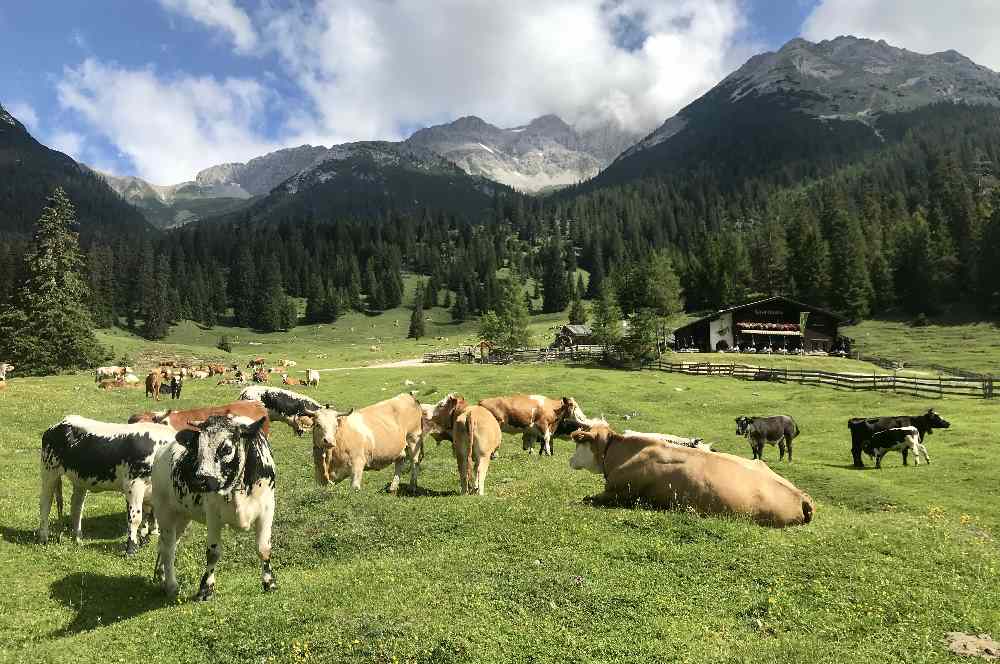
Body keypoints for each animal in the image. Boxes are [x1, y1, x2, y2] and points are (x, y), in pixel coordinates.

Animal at [37, 418, 176, 552]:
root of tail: (60, 423)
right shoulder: (133, 485)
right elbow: (135, 518)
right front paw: (131, 548)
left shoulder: (149, 490)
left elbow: (146, 516)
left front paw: (143, 541)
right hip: (49, 471)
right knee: (45, 503)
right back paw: (44, 537)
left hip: (79, 480)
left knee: (76, 507)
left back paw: (78, 538)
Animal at [149, 412, 274, 600]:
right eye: (198, 449)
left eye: (226, 449)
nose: (200, 480)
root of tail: (162, 451)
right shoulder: (213, 515)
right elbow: (213, 553)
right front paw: (205, 589)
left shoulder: (267, 509)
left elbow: (263, 548)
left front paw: (269, 583)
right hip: (164, 511)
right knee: (169, 548)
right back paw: (171, 585)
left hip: (183, 516)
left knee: (165, 545)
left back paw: (161, 575)